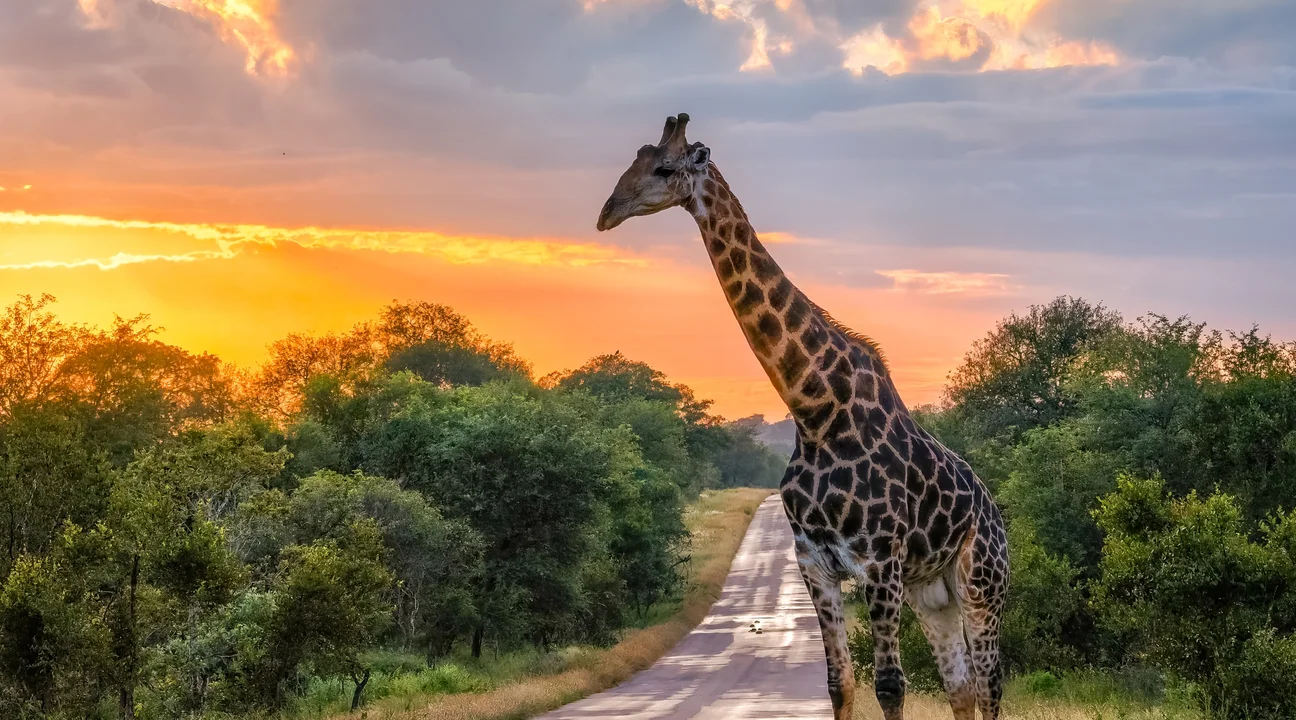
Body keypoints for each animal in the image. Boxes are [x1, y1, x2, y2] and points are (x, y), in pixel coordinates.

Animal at [596, 114, 1010, 720]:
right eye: (634, 160)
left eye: (665, 168)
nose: (607, 211)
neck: (815, 411)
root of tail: (999, 516)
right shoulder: (814, 562)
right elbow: (840, 683)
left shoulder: (879, 561)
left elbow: (891, 686)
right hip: (932, 591)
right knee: (959, 685)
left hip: (981, 582)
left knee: (989, 683)